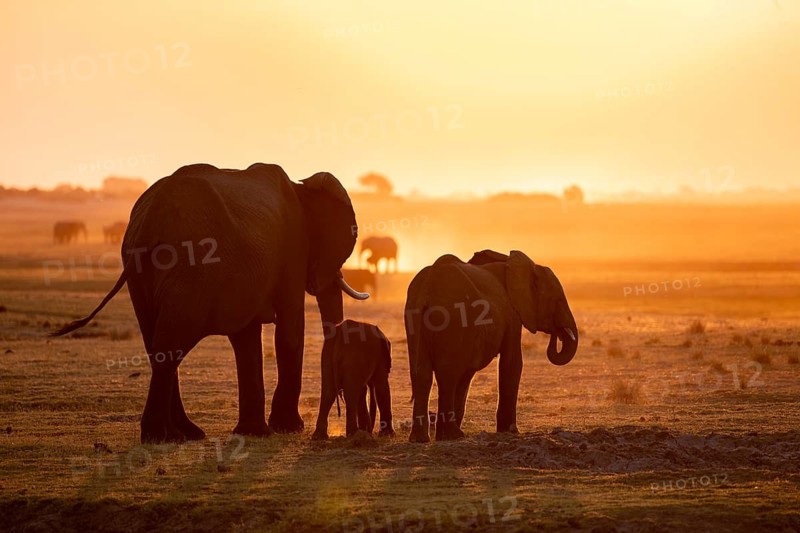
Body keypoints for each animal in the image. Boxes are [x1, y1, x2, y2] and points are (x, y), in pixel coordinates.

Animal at [52, 163, 369, 443]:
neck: (301, 185)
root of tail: (149, 222)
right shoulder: (293, 249)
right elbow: (289, 331)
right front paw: (288, 429)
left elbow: (246, 338)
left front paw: (254, 433)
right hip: (189, 266)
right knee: (170, 344)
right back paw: (164, 437)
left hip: (142, 273)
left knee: (158, 345)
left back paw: (184, 434)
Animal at [404, 249, 578, 442]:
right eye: (558, 300)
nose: (557, 333)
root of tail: (426, 291)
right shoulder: (512, 314)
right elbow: (512, 363)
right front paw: (511, 431)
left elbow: (467, 375)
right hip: (452, 320)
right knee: (447, 375)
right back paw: (452, 436)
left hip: (414, 317)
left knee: (423, 375)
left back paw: (422, 439)